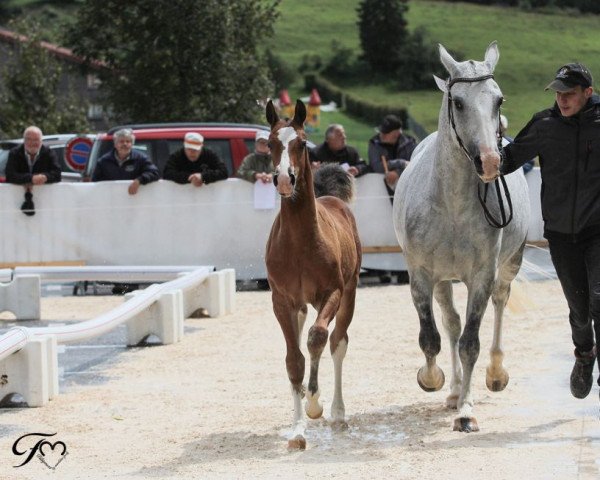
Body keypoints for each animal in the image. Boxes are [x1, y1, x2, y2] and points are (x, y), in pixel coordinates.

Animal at [394, 40, 528, 432]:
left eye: (499, 100)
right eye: (458, 102)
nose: (491, 162)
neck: (451, 205)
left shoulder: (482, 276)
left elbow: (471, 343)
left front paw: (467, 412)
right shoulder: (422, 275)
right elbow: (432, 337)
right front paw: (433, 380)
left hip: (509, 265)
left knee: (499, 304)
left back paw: (494, 375)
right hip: (443, 280)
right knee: (450, 324)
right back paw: (453, 391)